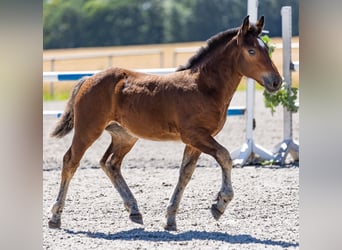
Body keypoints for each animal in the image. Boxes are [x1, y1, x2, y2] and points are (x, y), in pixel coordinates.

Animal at [49, 15, 282, 230]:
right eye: (251, 51)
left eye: (266, 50)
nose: (276, 81)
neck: (203, 87)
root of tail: (88, 79)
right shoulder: (195, 135)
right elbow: (224, 157)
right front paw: (220, 204)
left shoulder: (195, 141)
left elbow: (185, 173)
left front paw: (170, 219)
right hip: (88, 130)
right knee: (70, 161)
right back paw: (55, 217)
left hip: (124, 136)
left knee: (110, 163)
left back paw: (134, 210)